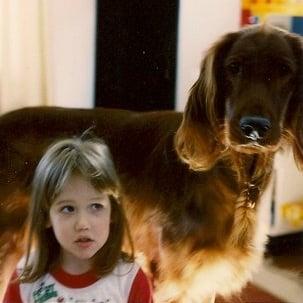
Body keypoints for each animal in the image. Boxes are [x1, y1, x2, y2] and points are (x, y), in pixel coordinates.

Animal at [0, 25, 303, 302]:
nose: (254, 128)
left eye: (285, 70)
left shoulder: (202, 277)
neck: (234, 172)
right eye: (234, 67)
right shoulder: (171, 278)